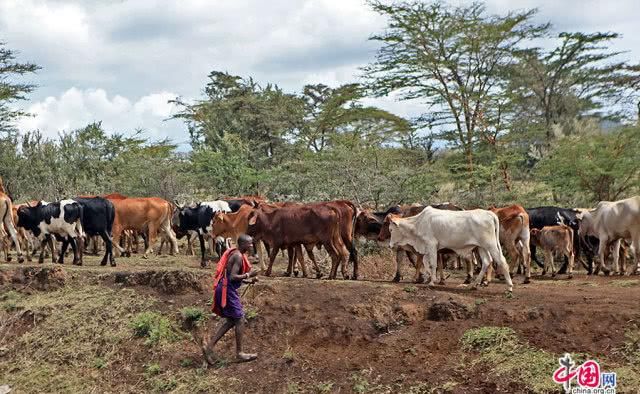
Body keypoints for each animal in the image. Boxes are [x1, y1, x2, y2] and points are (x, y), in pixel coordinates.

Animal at [382, 208, 512, 290]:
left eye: (391, 229)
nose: (390, 245)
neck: (418, 224)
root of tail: (490, 214)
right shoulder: (427, 249)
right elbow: (426, 263)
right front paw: (429, 278)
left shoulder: (431, 245)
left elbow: (433, 264)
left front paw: (432, 282)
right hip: (481, 247)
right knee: (486, 262)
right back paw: (474, 285)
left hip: (490, 244)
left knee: (502, 261)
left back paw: (509, 287)